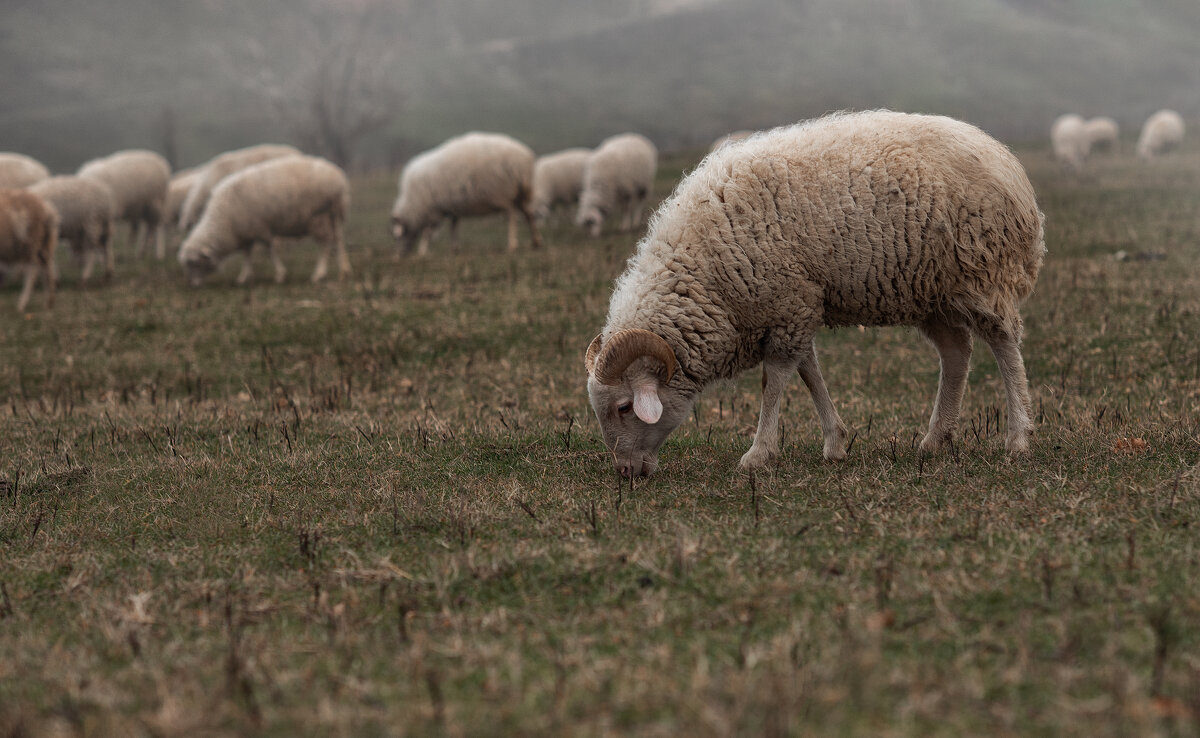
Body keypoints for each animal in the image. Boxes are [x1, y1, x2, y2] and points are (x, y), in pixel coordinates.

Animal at [176, 157, 350, 289]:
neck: (224, 222)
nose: (190, 284)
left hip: (318, 218)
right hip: (333, 215)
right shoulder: (246, 233)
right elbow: (247, 255)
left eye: (193, 263)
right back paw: (343, 271)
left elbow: (270, 251)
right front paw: (244, 277)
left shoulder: (260, 229)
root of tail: (339, 179)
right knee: (338, 240)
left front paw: (280, 275)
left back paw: (319, 274)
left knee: (325, 245)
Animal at [388, 132, 544, 256]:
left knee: (512, 216)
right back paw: (535, 242)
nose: (399, 255)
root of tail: (525, 158)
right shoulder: (452, 207)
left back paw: (512, 244)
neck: (414, 202)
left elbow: (428, 232)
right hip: (521, 194)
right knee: (529, 215)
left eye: (398, 237)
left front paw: (422, 251)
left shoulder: (434, 209)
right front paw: (454, 249)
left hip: (504, 193)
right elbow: (453, 226)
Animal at [585, 109, 1046, 480]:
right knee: (956, 352)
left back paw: (1019, 437)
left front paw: (758, 454)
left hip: (983, 272)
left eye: (624, 407)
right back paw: (935, 438)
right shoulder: (795, 306)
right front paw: (835, 442)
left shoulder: (788, 305)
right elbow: (810, 374)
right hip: (933, 292)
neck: (705, 273)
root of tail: (1004, 159)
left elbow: (774, 382)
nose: (626, 472)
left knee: (1005, 344)